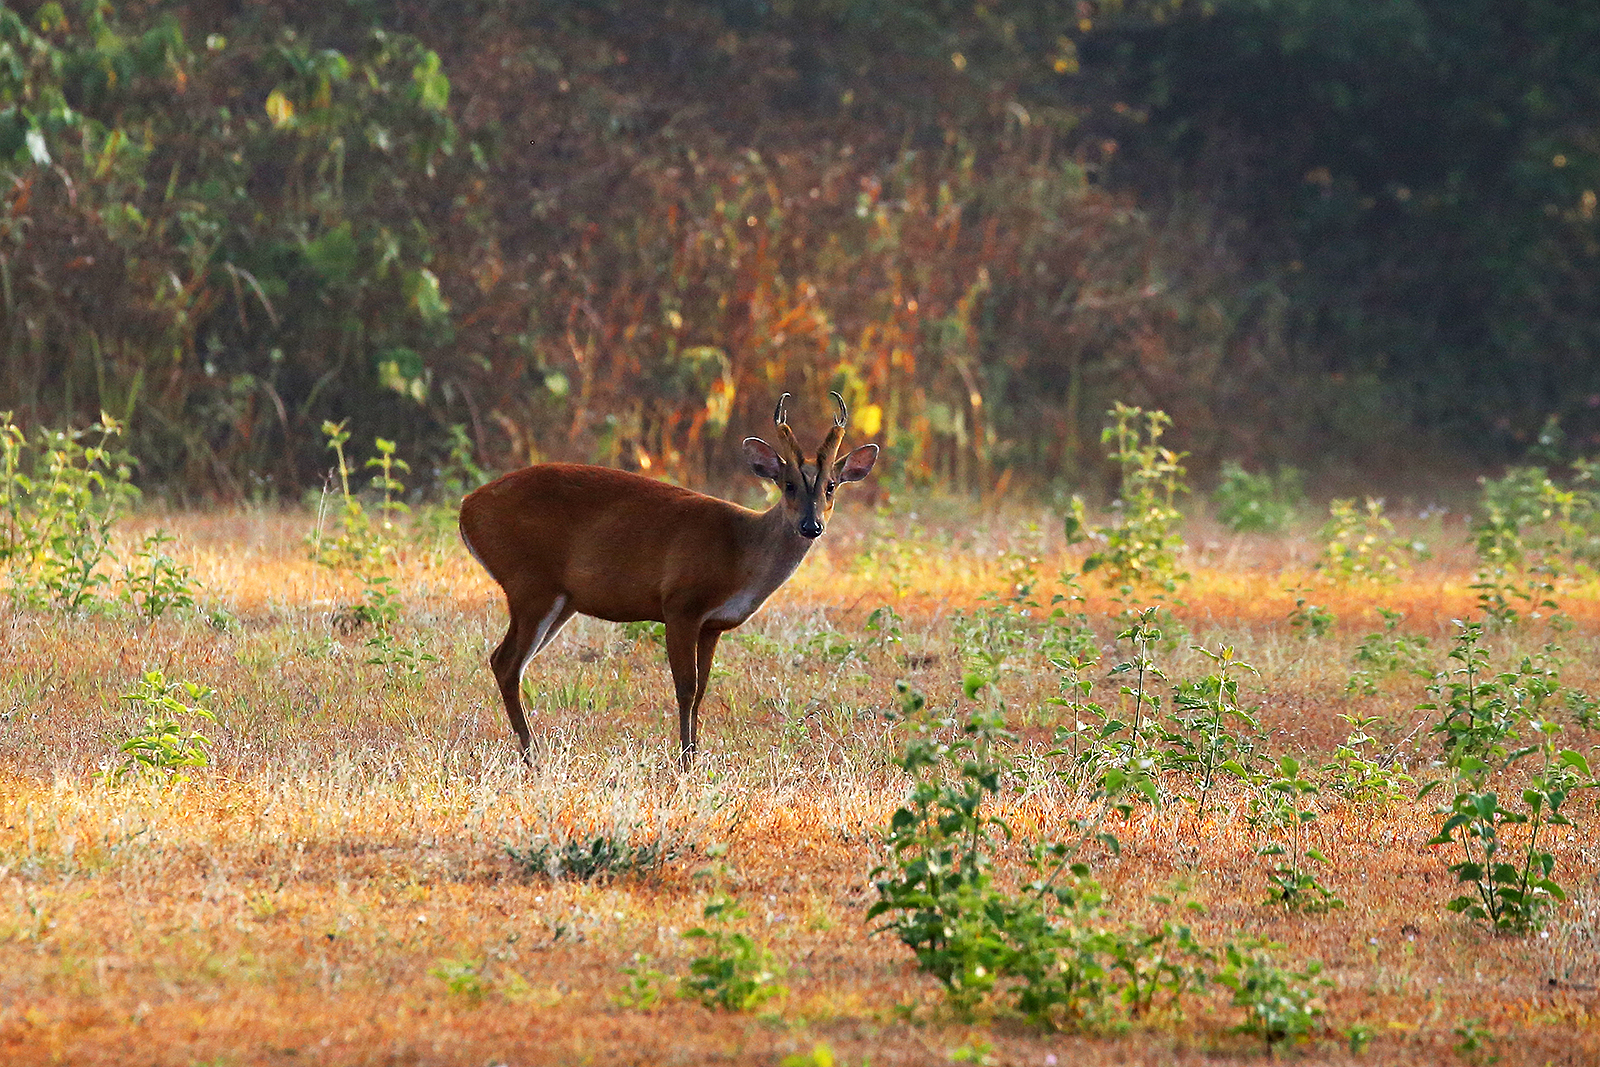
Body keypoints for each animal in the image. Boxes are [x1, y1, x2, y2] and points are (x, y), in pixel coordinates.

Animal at [458, 392, 879, 770]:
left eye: (830, 486)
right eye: (788, 484)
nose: (812, 525)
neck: (741, 552)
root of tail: (466, 509)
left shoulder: (713, 625)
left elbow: (703, 688)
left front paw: (695, 755)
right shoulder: (680, 604)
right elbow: (686, 687)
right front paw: (685, 761)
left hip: (561, 600)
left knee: (507, 662)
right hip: (530, 583)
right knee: (506, 661)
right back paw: (533, 758)